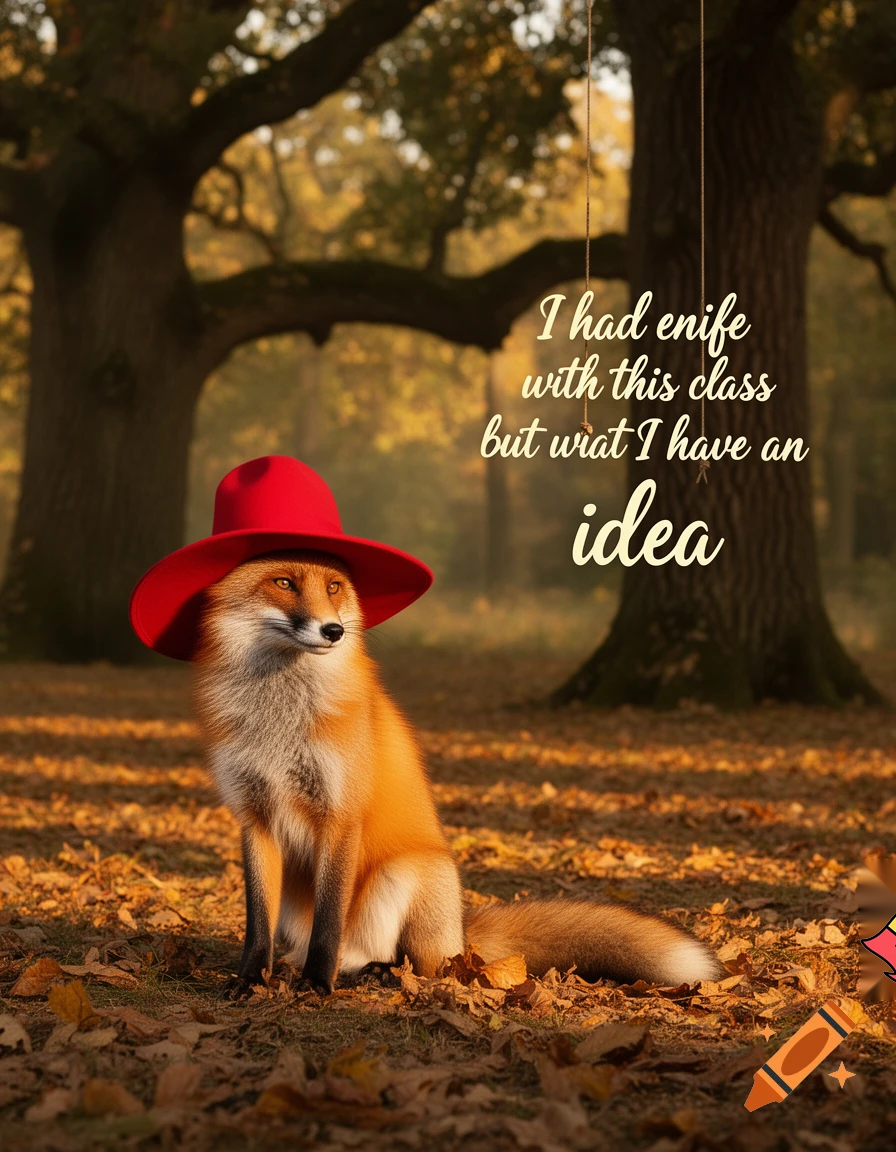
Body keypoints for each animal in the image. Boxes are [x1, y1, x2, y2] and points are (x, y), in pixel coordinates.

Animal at [193, 549, 724, 995]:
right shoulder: (254, 816)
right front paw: (250, 979)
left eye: (334, 586)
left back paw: (376, 973)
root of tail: (461, 931)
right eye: (283, 582)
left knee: (427, 967)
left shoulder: (341, 814)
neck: (279, 722)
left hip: (403, 874)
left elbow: (328, 923)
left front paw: (317, 987)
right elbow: (256, 924)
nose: (333, 631)